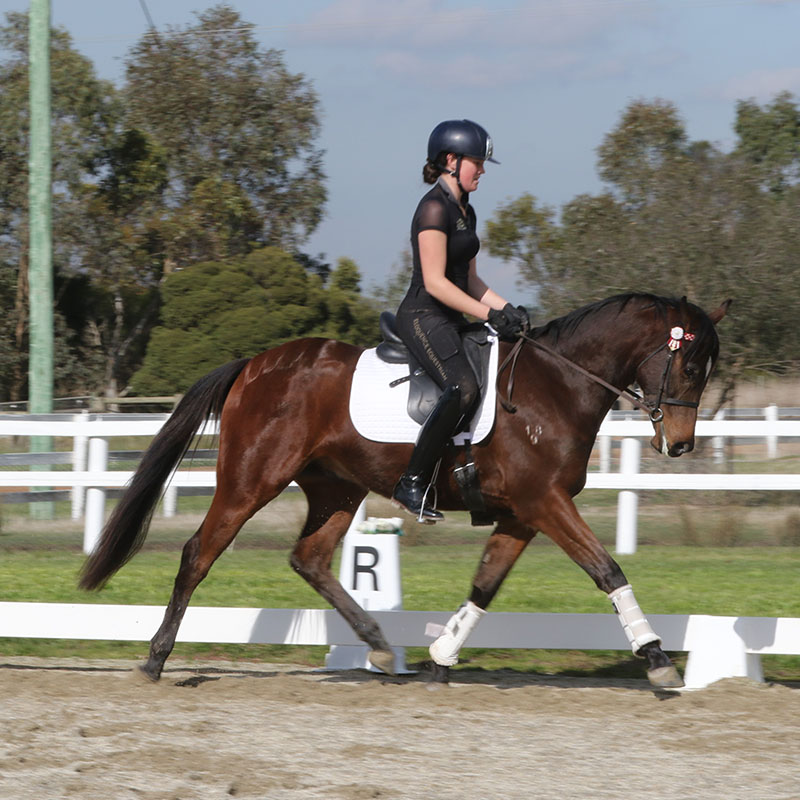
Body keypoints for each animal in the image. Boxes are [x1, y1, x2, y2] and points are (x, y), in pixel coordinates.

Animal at [79, 292, 730, 689]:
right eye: (690, 366)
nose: (680, 445)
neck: (557, 385)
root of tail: (253, 365)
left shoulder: (523, 513)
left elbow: (485, 584)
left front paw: (441, 658)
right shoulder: (545, 502)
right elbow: (607, 569)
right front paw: (657, 659)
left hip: (336, 490)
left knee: (309, 558)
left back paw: (380, 648)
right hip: (250, 480)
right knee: (199, 553)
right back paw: (155, 659)